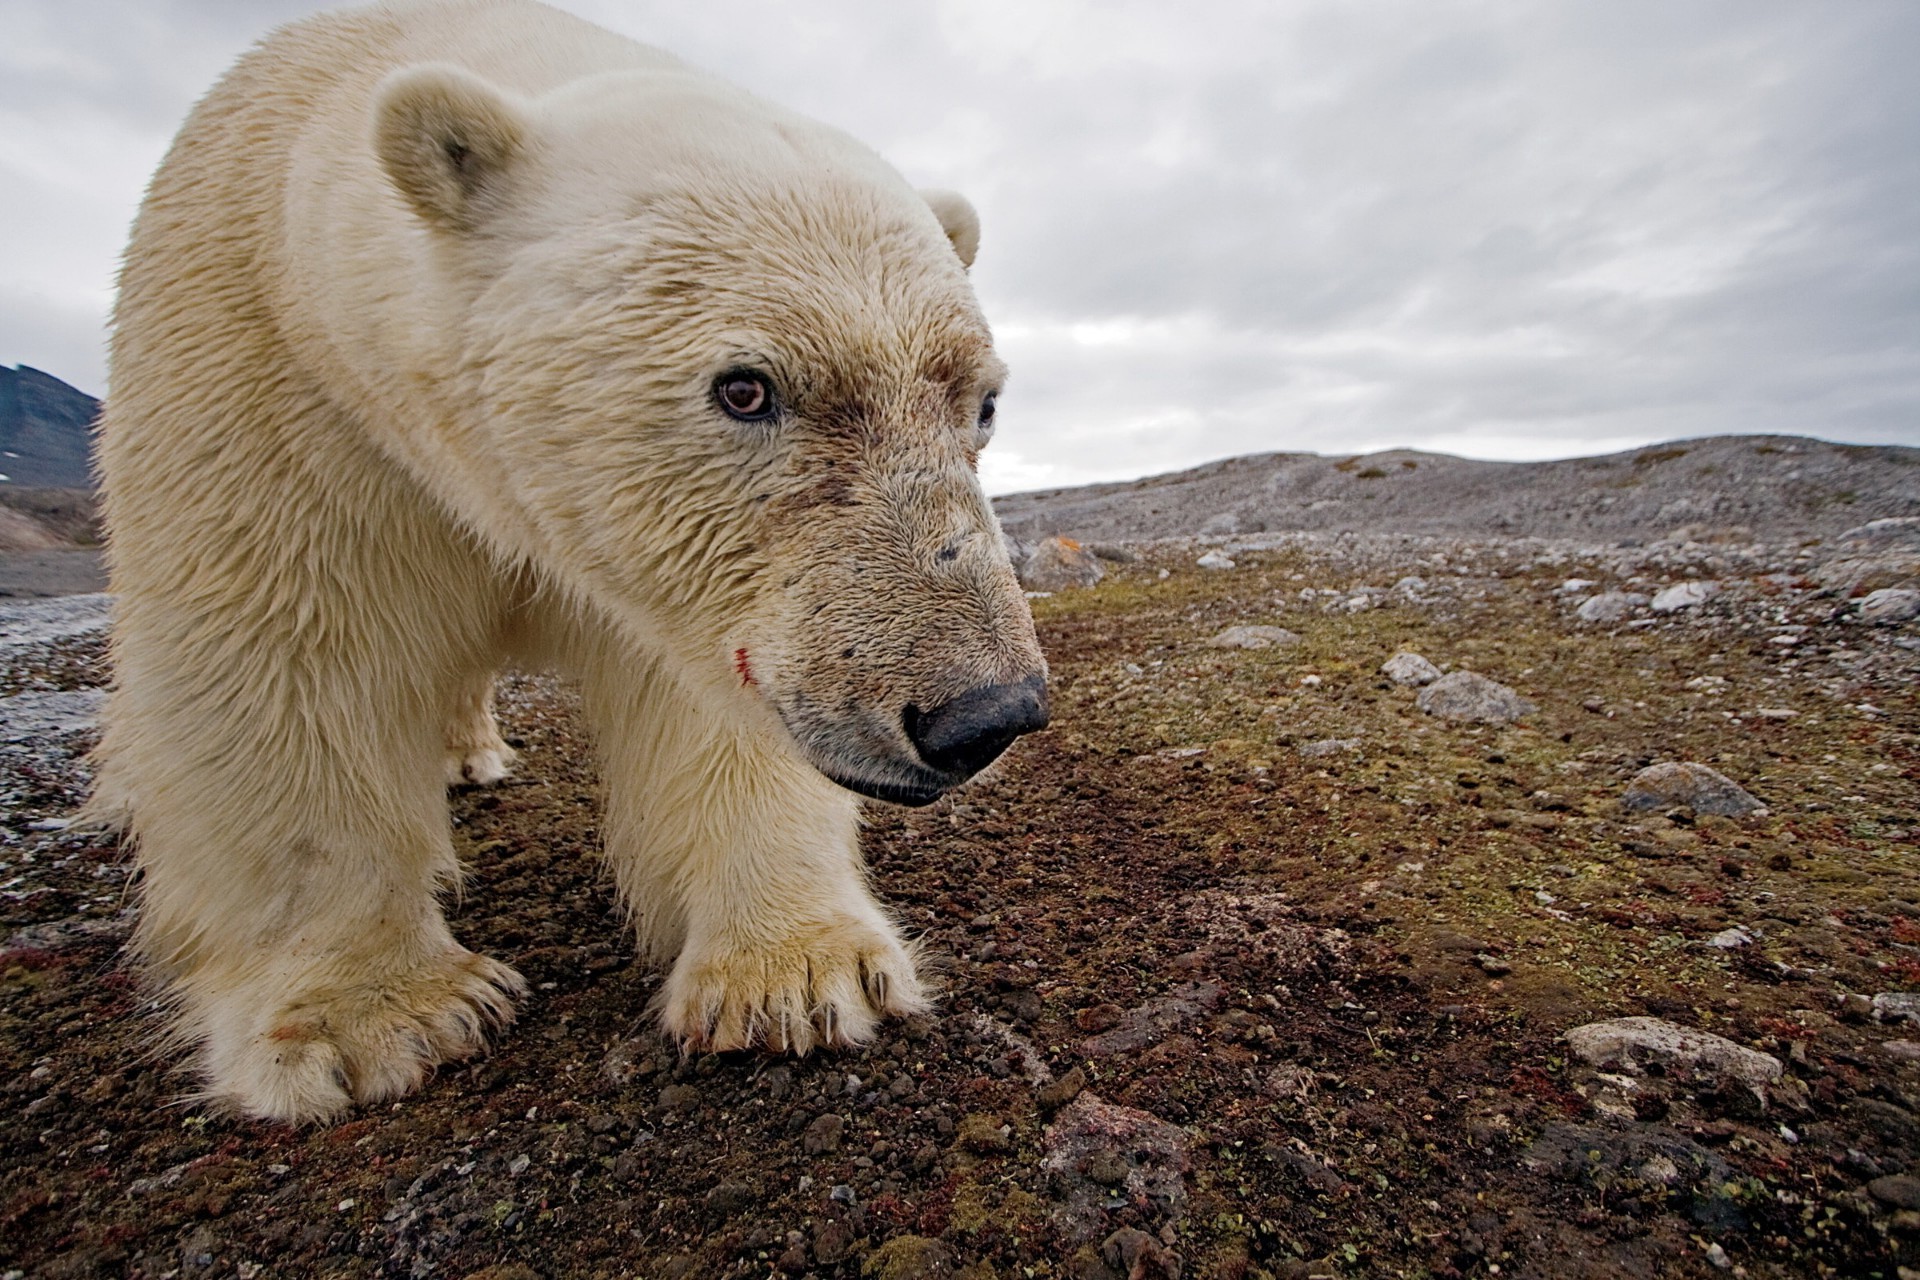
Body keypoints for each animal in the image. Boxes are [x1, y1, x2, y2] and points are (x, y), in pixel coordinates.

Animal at [93, 0, 1052, 1120]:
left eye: (981, 402)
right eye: (746, 387)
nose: (983, 713)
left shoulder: (678, 574)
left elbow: (701, 700)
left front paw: (798, 973)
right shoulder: (276, 387)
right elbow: (284, 660)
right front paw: (373, 1020)